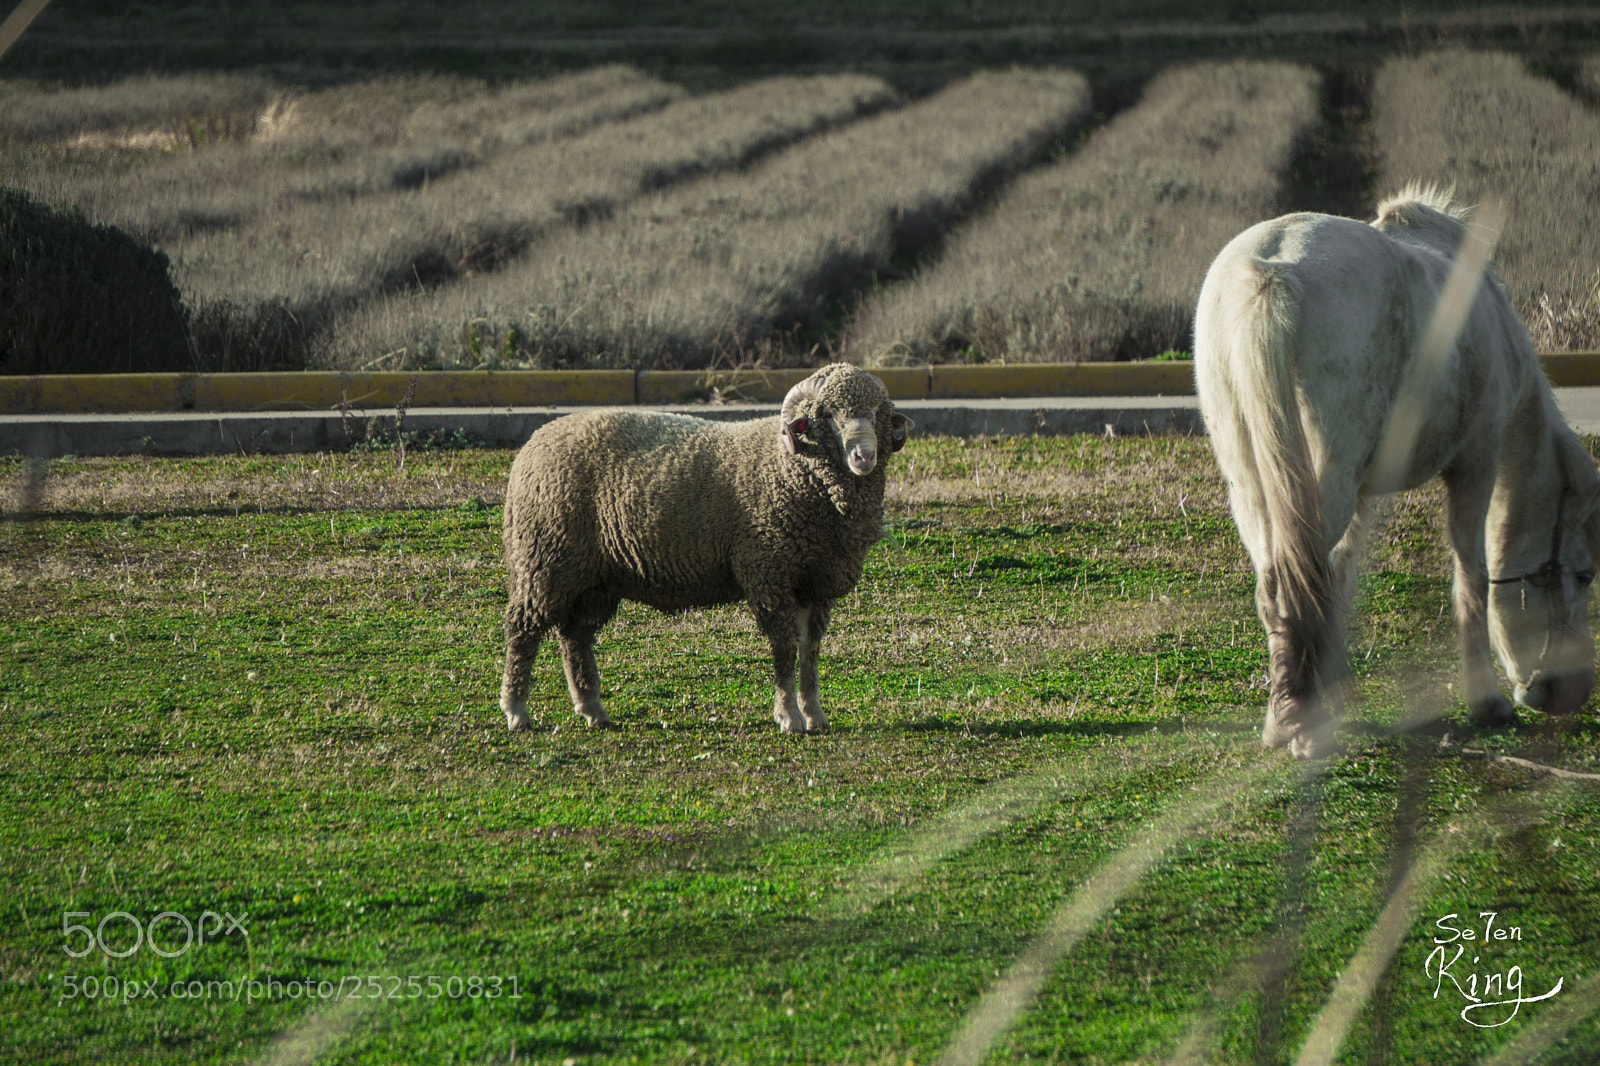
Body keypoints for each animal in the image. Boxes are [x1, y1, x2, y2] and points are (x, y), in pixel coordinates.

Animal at [499, 363, 912, 733]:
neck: (791, 467)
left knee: (575, 637)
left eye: (878, 412)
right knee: (523, 630)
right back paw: (516, 711)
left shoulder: (815, 583)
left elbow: (810, 651)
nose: (864, 457)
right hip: (545, 558)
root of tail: (534, 442)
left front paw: (815, 715)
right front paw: (789, 717)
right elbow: (784, 649)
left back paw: (592, 710)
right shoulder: (769, 572)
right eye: (827, 414)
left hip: (592, 578)